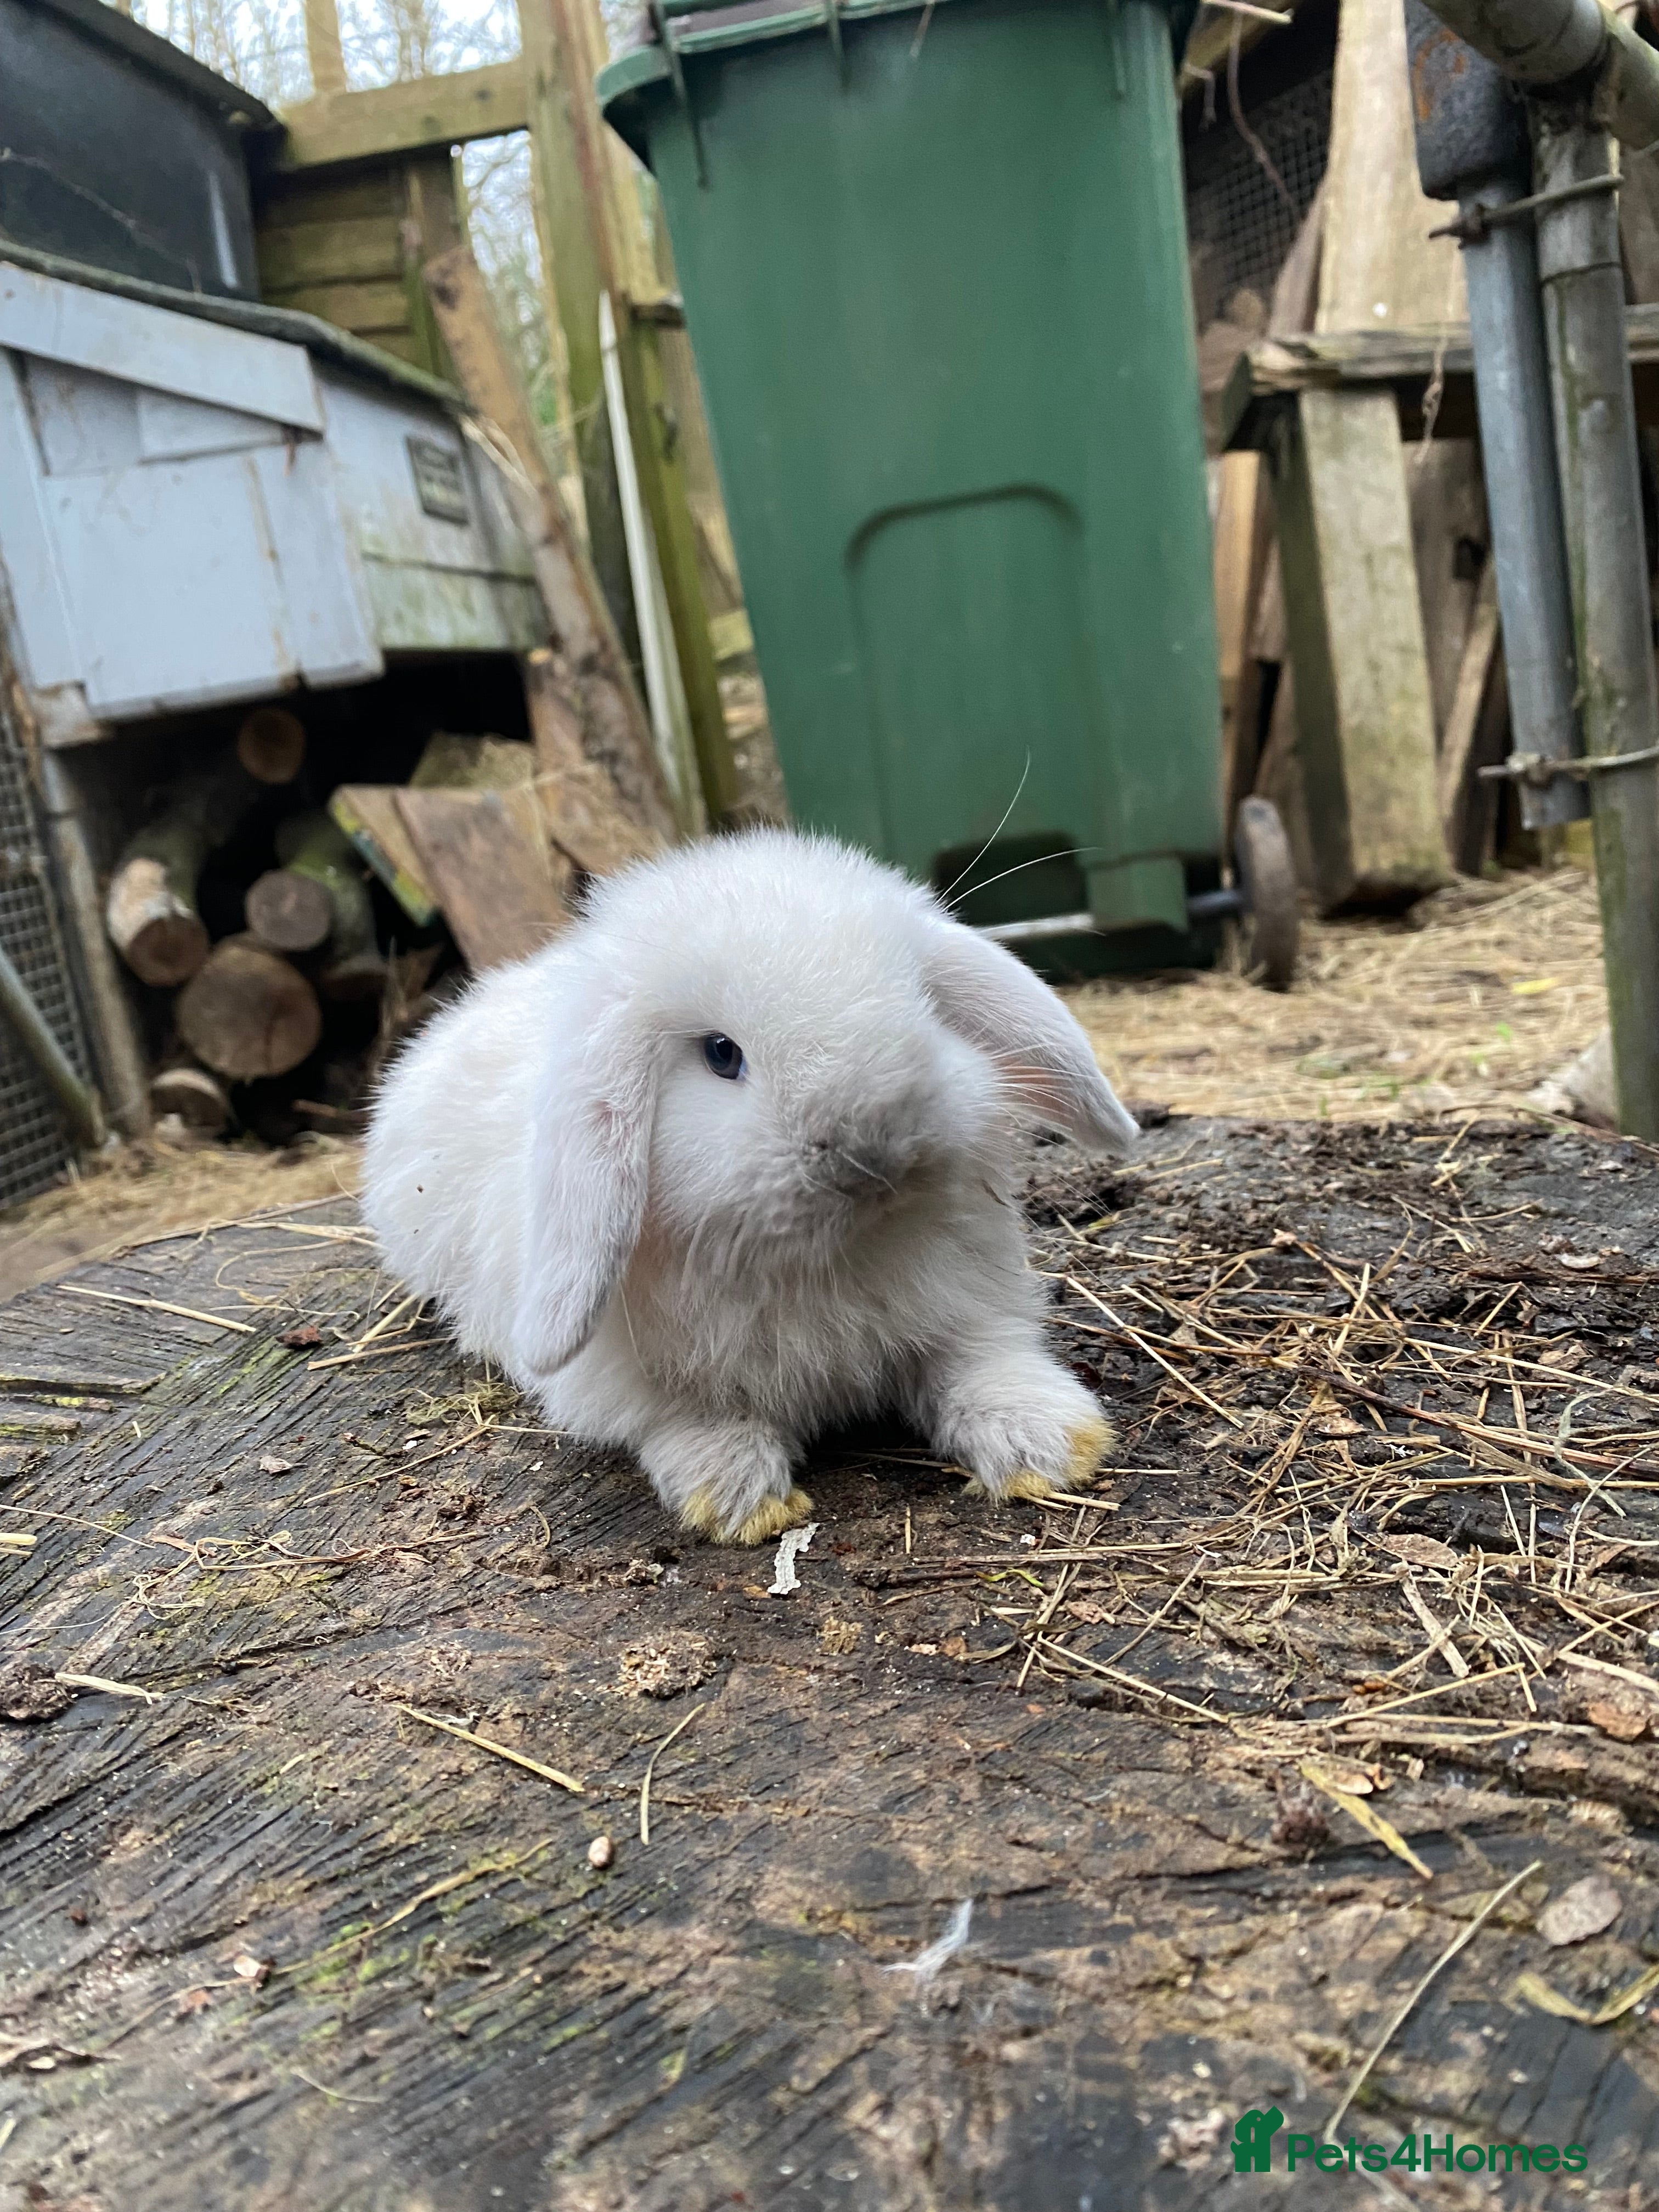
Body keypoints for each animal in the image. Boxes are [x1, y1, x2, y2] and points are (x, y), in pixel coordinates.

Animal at [362, 828, 1139, 1545]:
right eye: (720, 1054)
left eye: (923, 1005)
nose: (873, 1152)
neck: (826, 1258)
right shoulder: (636, 1381)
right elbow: (690, 1419)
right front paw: (736, 1497)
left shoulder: (968, 1305)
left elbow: (978, 1364)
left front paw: (1052, 1446)